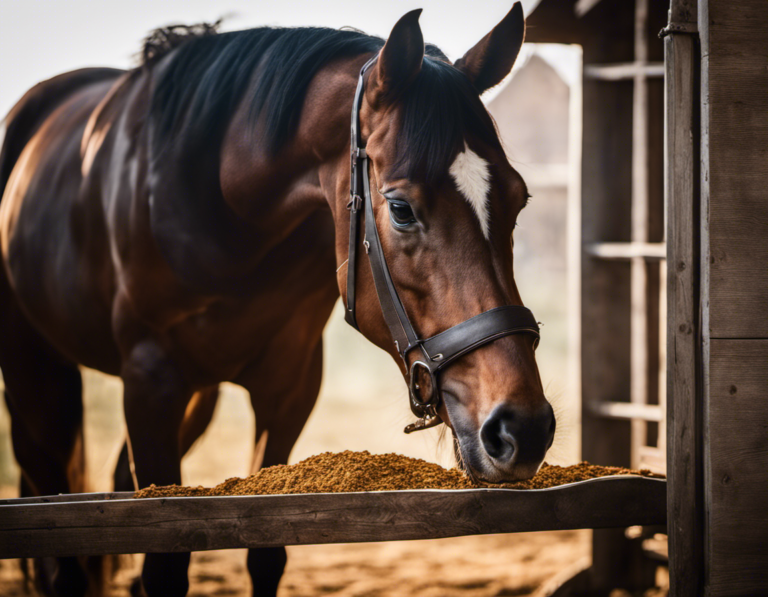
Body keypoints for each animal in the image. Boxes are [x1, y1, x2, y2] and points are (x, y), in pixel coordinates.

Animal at [0, 5, 556, 596]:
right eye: (402, 208)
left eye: (519, 199)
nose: (521, 428)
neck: (225, 205)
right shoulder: (151, 383)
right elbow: (163, 560)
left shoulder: (287, 385)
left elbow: (266, 548)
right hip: (39, 381)